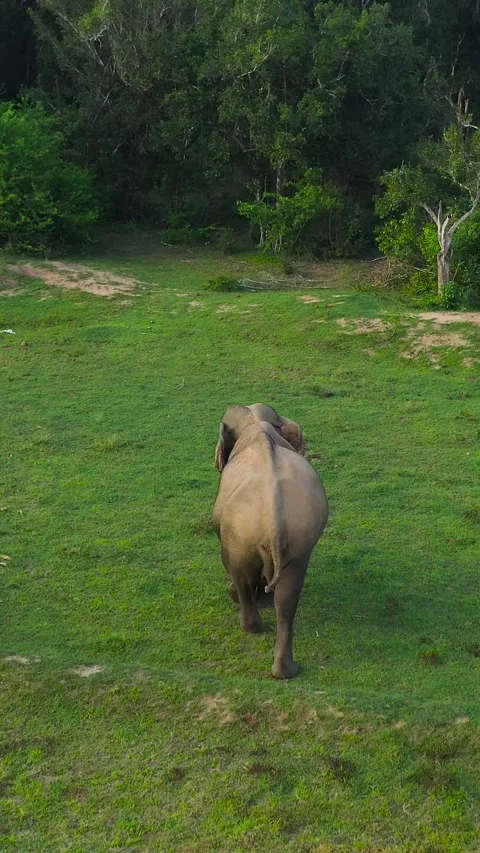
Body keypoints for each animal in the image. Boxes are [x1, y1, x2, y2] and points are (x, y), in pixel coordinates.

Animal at [211, 404, 328, 679]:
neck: (256, 423)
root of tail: (274, 522)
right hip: (298, 541)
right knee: (287, 596)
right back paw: (285, 670)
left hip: (239, 534)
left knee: (240, 574)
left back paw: (249, 622)